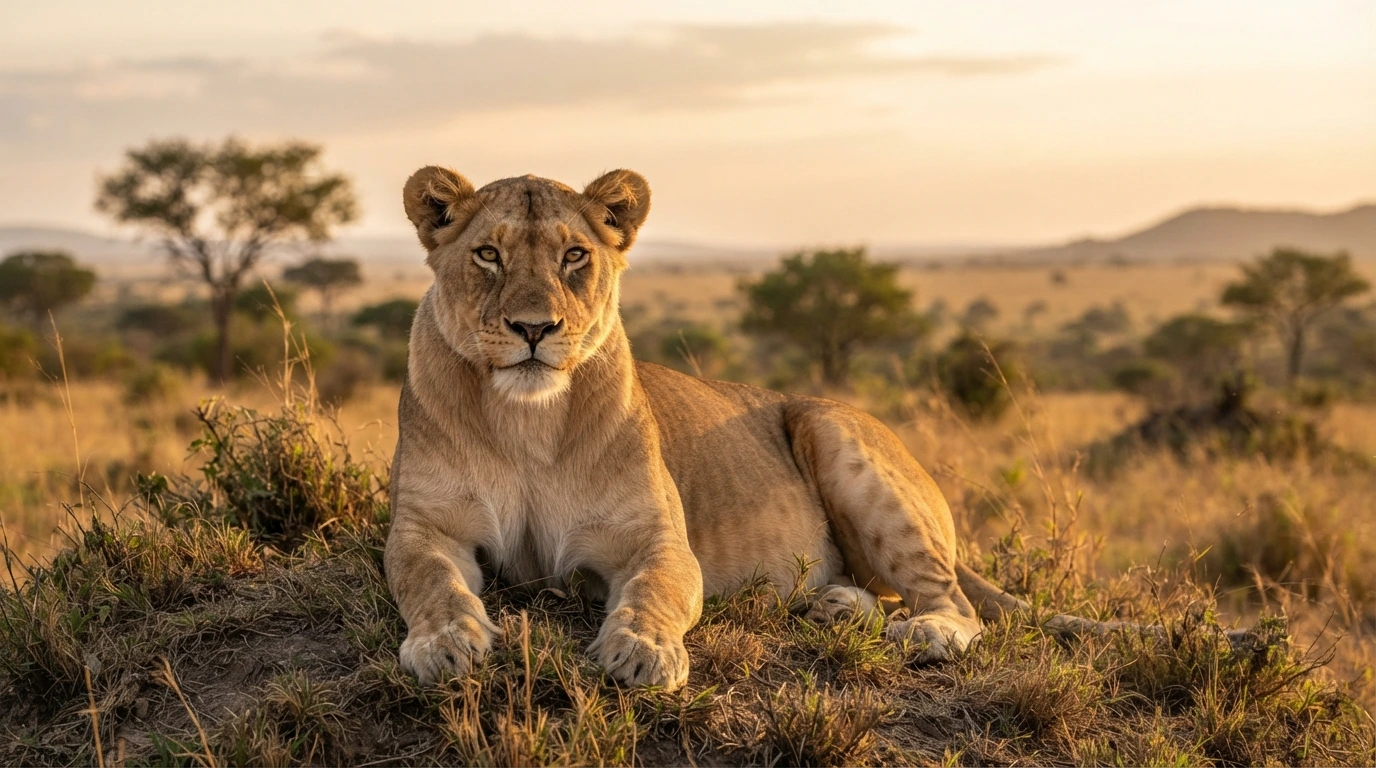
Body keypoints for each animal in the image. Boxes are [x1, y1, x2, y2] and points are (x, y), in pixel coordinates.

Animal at [384, 166, 1125, 690]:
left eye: (573, 256)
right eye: (487, 254)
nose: (534, 329)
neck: (528, 420)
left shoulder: (659, 540)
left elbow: (653, 592)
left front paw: (642, 652)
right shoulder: (426, 527)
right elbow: (432, 582)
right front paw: (445, 645)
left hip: (830, 429)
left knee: (951, 601)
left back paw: (925, 633)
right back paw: (837, 607)